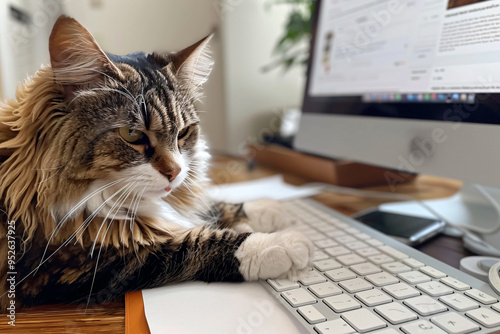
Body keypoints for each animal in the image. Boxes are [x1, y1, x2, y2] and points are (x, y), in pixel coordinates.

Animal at [0, 14, 312, 310]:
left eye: (183, 133)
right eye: (132, 135)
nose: (175, 172)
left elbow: (209, 205)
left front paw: (271, 209)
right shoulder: (90, 260)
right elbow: (193, 244)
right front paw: (283, 243)